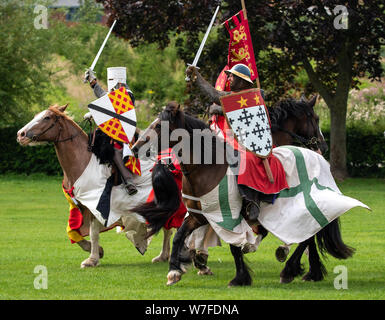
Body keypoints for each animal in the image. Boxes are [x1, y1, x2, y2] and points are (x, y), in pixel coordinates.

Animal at [15, 104, 171, 268]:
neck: (83, 161)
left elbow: (93, 232)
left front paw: (92, 259)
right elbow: (72, 231)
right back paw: (164, 255)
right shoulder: (80, 205)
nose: (21, 134)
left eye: (47, 117)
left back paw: (164, 255)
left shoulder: (97, 204)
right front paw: (97, 251)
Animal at [130, 100, 358, 284]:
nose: (135, 148)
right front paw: (174, 272)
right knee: (308, 236)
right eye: (315, 119)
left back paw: (290, 270)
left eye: (159, 126)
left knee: (307, 236)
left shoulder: (228, 216)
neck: (207, 167)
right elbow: (180, 236)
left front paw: (239, 277)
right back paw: (305, 271)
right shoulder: (200, 216)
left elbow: (235, 245)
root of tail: (317, 158)